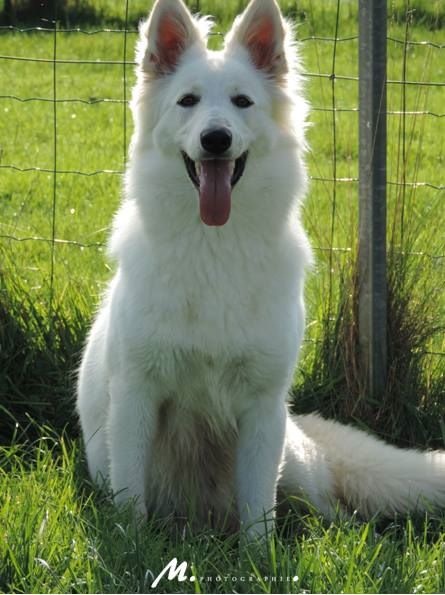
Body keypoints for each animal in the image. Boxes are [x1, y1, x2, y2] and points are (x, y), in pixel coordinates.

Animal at [76, 0, 445, 540]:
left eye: (242, 102)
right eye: (188, 101)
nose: (216, 139)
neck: (215, 246)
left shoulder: (262, 407)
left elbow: (258, 513)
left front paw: (257, 552)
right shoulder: (136, 397)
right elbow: (131, 503)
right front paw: (133, 544)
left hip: (292, 461)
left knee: (325, 508)